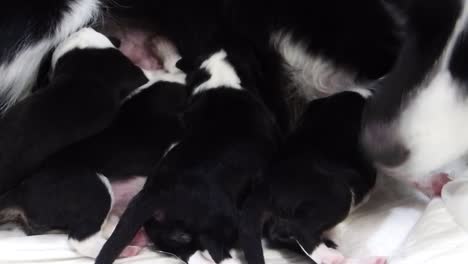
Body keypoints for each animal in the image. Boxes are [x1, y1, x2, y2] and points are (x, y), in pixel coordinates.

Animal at [0, 28, 186, 258]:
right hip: (97, 188)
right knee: (82, 241)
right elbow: (175, 63)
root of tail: (18, 194)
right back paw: (128, 249)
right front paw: (164, 45)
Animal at [93, 49, 280, 264]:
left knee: (188, 251)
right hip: (221, 219)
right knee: (215, 248)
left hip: (167, 231)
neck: (220, 79)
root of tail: (157, 193)